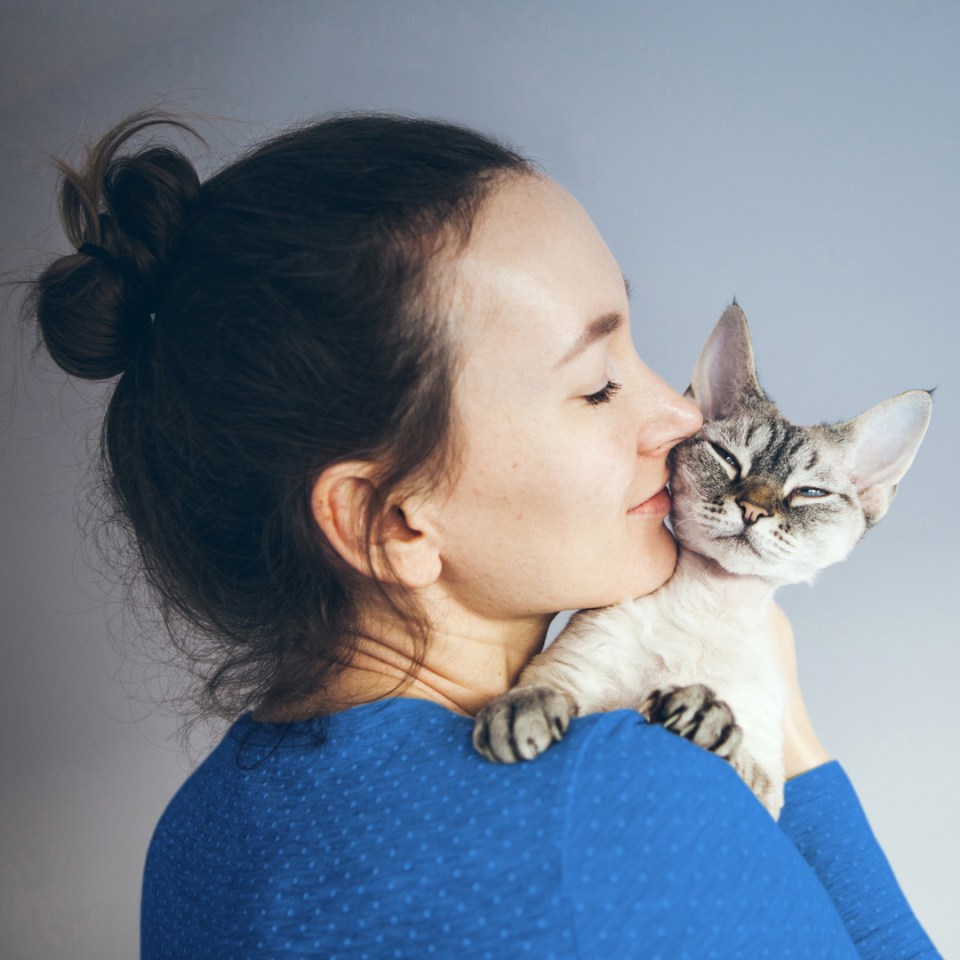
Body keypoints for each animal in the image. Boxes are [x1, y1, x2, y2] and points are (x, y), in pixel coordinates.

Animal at [472, 302, 928, 816]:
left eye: (809, 493)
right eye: (728, 459)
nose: (752, 510)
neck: (709, 606)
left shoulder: (766, 787)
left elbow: (736, 751)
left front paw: (702, 713)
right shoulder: (569, 672)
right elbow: (552, 691)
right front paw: (521, 712)